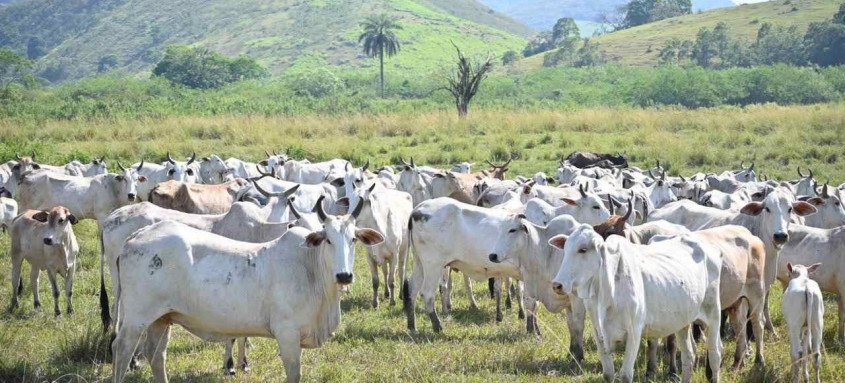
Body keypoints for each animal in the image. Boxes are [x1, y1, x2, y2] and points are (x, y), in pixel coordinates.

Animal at [14, 166, 144, 222]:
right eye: (124, 179)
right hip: (25, 208)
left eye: (137, 179)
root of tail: (29, 173)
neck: (113, 187)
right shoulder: (102, 215)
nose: (131, 195)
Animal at [110, 198, 384, 383]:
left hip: (162, 318)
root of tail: (135, 237)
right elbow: (294, 374)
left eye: (353, 239)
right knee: (121, 350)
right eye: (327, 239)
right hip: (136, 318)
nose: (344, 275)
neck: (311, 270)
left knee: (156, 355)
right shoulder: (287, 334)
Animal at [552, 225, 724, 383]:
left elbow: (626, 375)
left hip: (713, 314)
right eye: (565, 249)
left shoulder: (634, 332)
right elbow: (608, 374)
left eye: (583, 249)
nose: (557, 284)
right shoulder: (599, 333)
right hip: (683, 321)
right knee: (688, 356)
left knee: (715, 355)